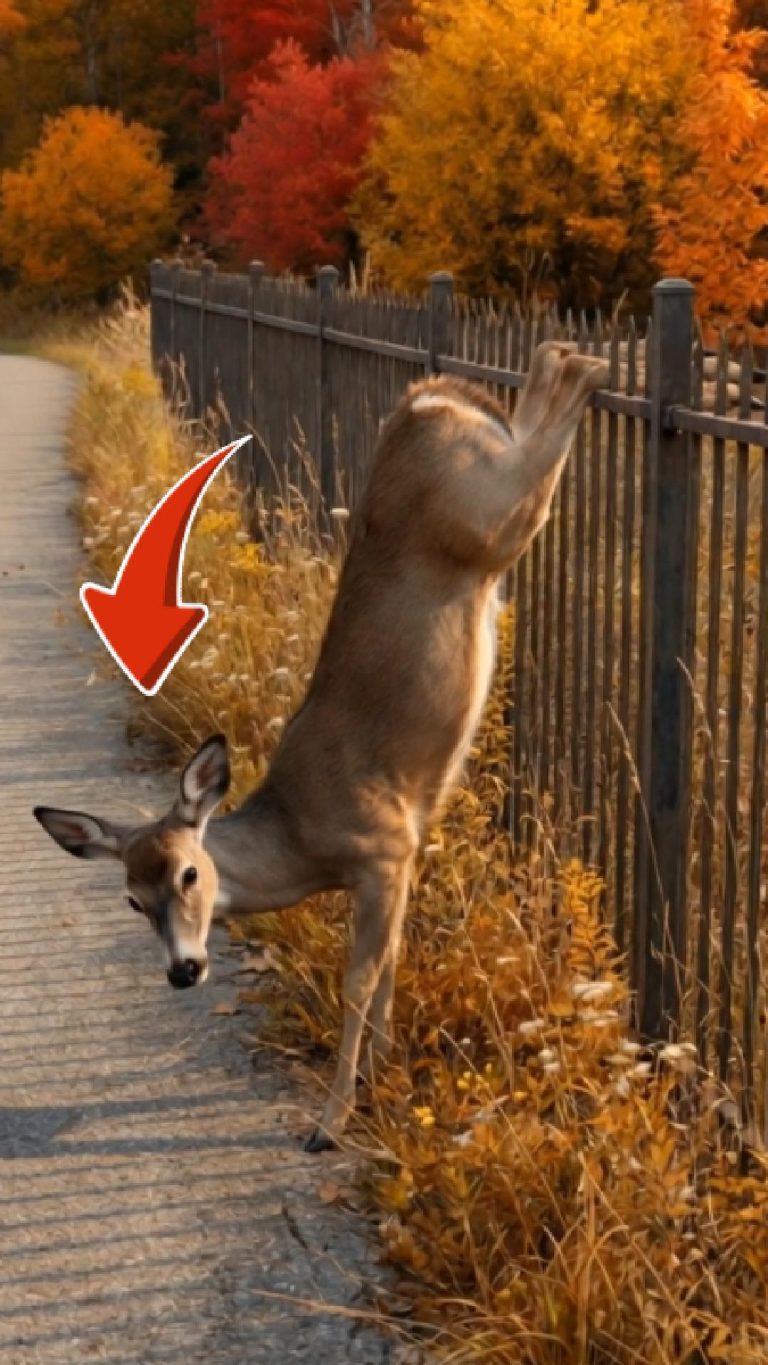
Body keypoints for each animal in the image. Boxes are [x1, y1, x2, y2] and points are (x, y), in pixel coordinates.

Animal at [34, 341, 608, 1151]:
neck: (300, 838)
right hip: (481, 492)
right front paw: (383, 1072)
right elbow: (392, 964)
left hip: (479, 513)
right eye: (129, 898)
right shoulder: (402, 857)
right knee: (519, 419)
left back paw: (584, 364)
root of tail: (419, 404)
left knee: (533, 467)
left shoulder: (382, 851)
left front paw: (333, 1119)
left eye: (188, 873)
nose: (183, 970)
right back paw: (559, 361)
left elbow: (358, 981)